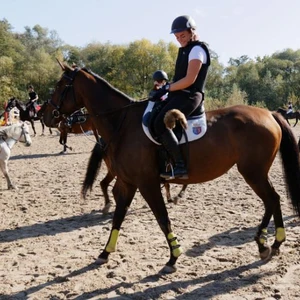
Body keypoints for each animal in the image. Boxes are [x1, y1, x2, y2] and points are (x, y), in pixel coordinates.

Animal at [41, 62, 300, 274]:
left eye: (59, 85)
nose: (46, 116)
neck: (122, 124)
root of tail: (269, 113)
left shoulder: (147, 184)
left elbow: (162, 218)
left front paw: (173, 258)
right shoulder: (127, 183)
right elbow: (118, 217)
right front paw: (105, 253)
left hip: (253, 172)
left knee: (272, 199)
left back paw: (268, 243)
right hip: (255, 173)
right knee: (273, 200)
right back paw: (270, 243)